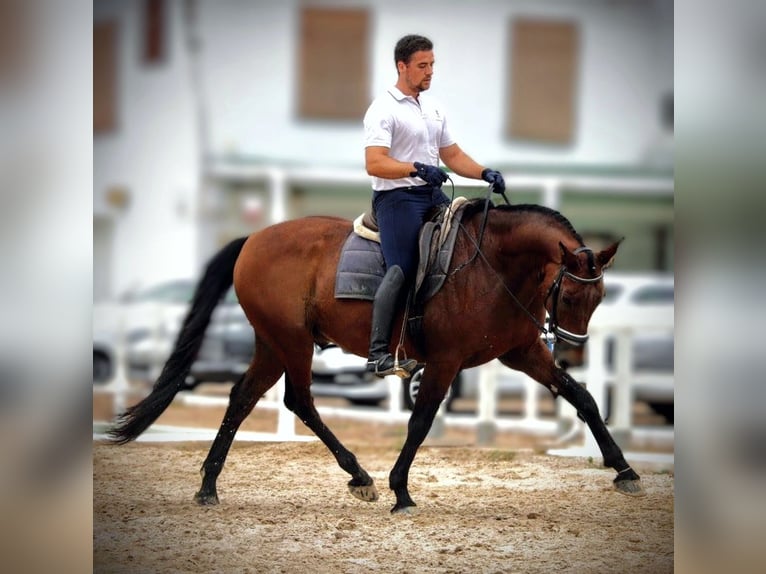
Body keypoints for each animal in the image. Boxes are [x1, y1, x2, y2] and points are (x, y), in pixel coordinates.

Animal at [109, 198, 645, 513]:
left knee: (244, 398)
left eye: (599, 298)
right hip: (292, 341)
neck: (494, 264)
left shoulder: (523, 352)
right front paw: (401, 491)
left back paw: (210, 486)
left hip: (274, 342)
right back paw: (359, 475)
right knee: (298, 400)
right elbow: (421, 421)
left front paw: (624, 469)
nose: (574, 347)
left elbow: (583, 398)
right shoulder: (446, 361)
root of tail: (254, 239)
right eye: (570, 296)